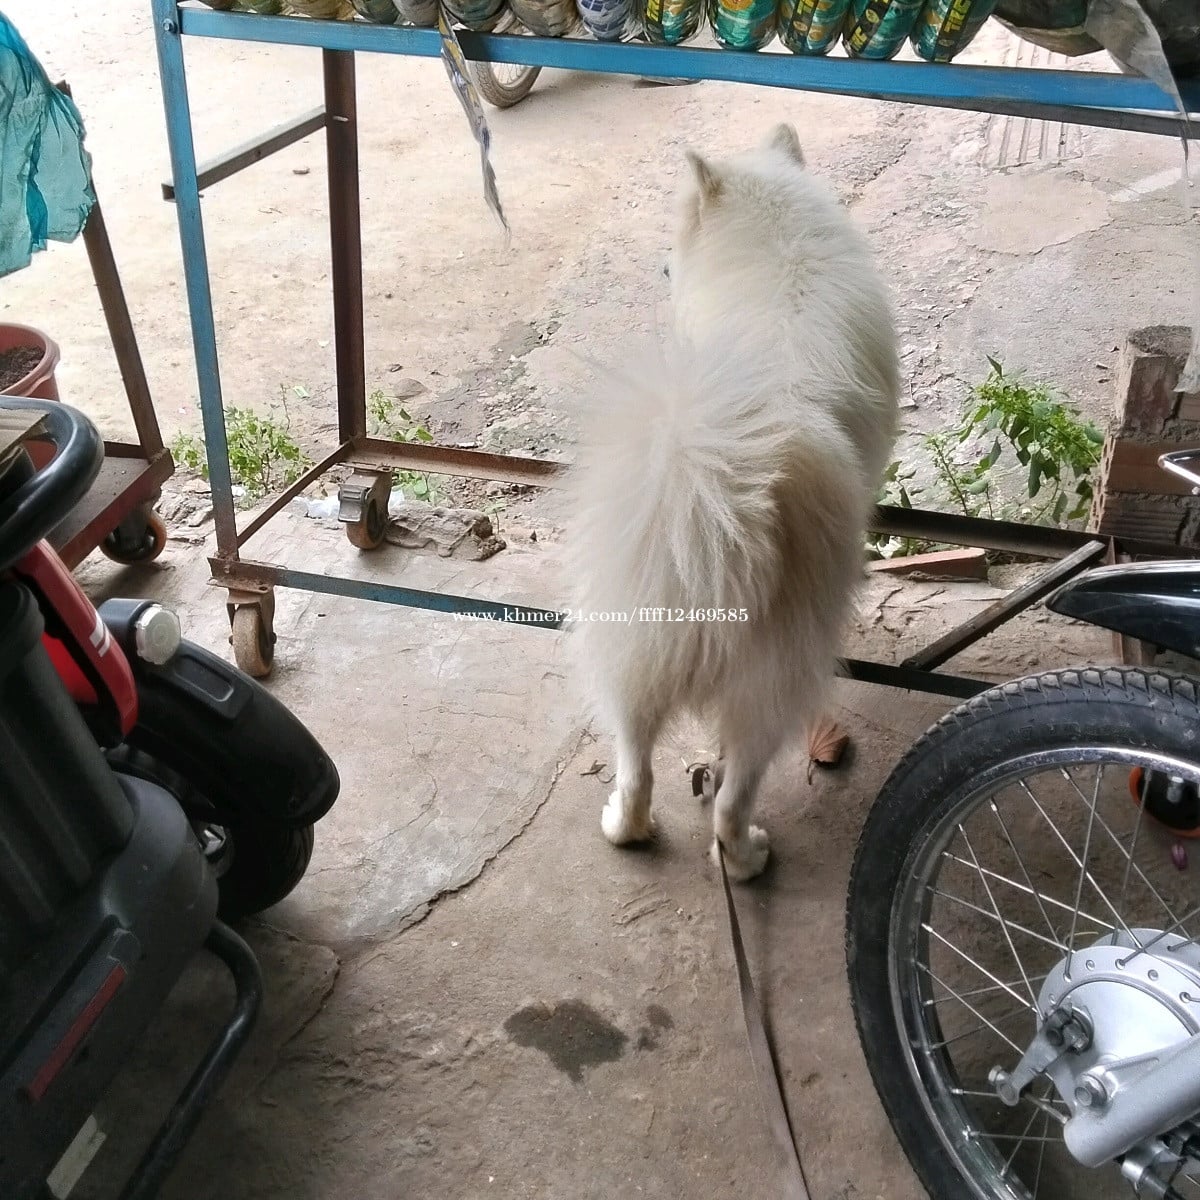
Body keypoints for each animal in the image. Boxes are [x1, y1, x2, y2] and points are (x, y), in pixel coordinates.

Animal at [565, 123, 900, 881]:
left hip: (630, 642)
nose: (664, 269)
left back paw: (625, 827)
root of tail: (700, 484)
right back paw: (746, 859)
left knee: (637, 763)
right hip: (775, 678)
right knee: (733, 796)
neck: (781, 255)